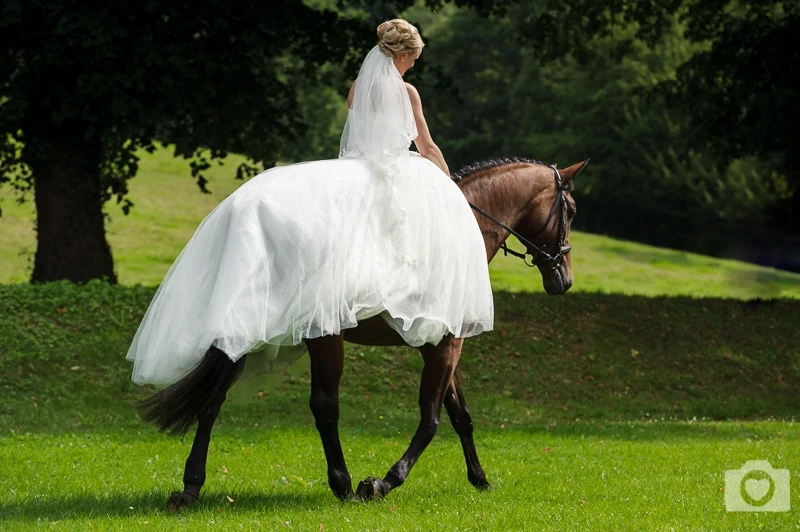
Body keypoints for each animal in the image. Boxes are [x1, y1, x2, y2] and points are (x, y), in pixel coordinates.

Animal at [136, 156, 588, 510]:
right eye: (570, 210)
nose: (564, 279)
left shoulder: (438, 342)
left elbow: (461, 416)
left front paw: (480, 478)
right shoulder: (447, 344)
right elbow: (431, 418)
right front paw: (383, 482)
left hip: (243, 333)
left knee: (213, 401)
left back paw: (191, 488)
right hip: (323, 336)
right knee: (324, 406)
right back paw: (343, 484)